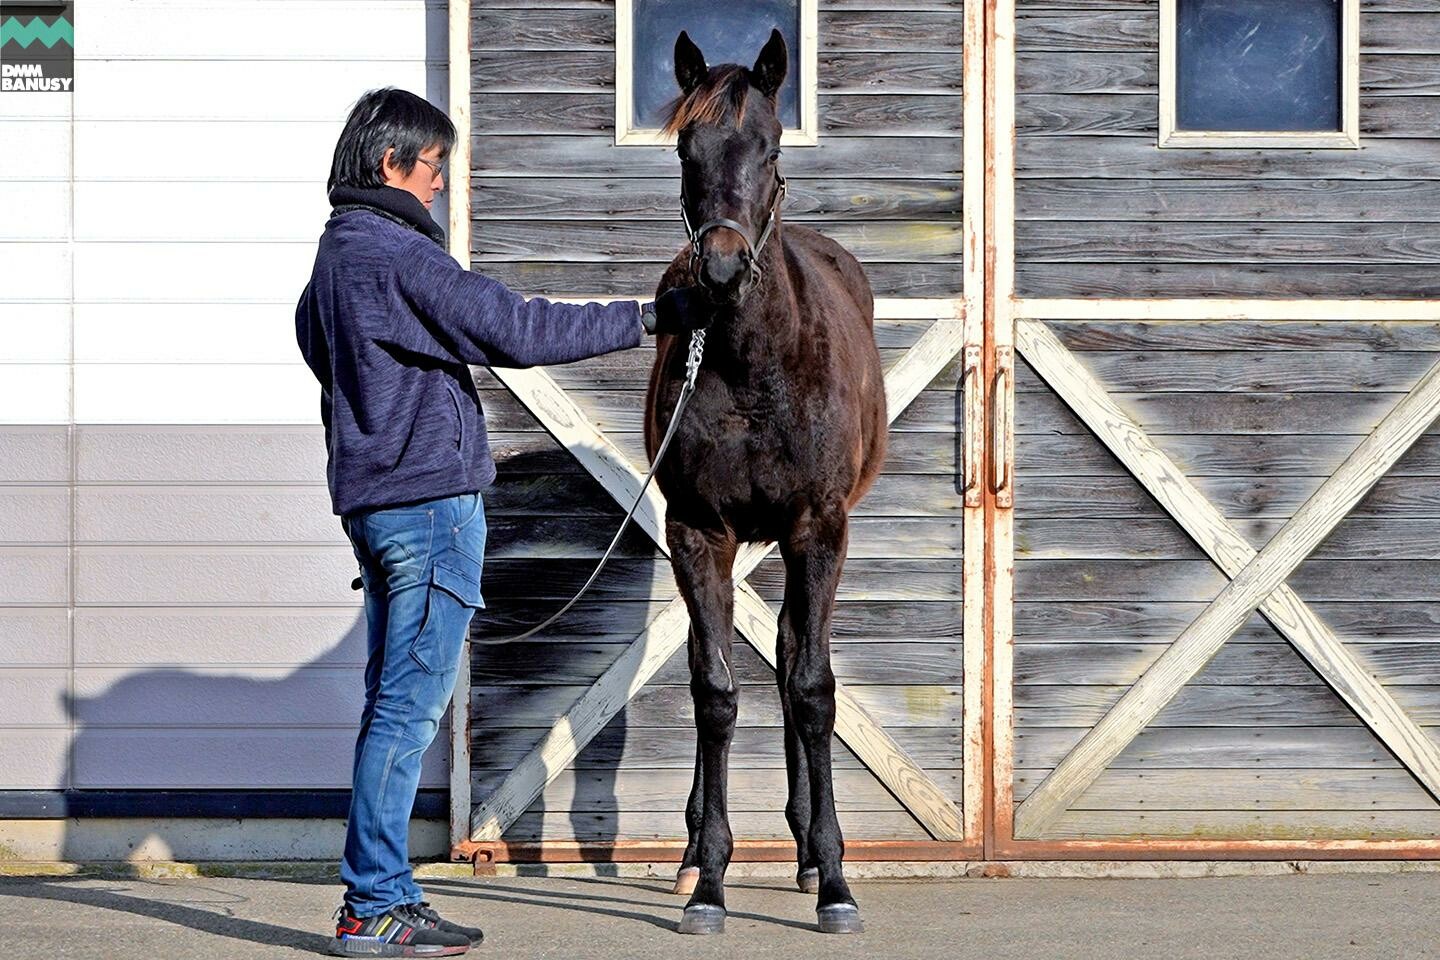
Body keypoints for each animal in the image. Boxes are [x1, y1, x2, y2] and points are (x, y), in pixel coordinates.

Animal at [645, 28, 887, 938]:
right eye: (687, 148)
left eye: (773, 149)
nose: (719, 271)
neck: (753, 365)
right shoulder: (696, 532)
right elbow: (714, 692)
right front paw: (710, 883)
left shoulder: (818, 529)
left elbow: (812, 689)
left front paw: (836, 881)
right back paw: (693, 857)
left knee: (790, 657)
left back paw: (811, 849)